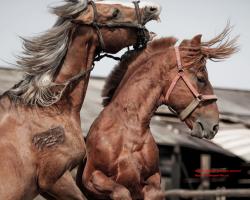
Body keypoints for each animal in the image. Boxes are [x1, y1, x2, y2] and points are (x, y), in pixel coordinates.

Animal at [77, 27, 237, 200]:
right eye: (201, 79)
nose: (214, 126)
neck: (129, 134)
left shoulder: (153, 185)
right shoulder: (93, 178)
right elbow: (121, 191)